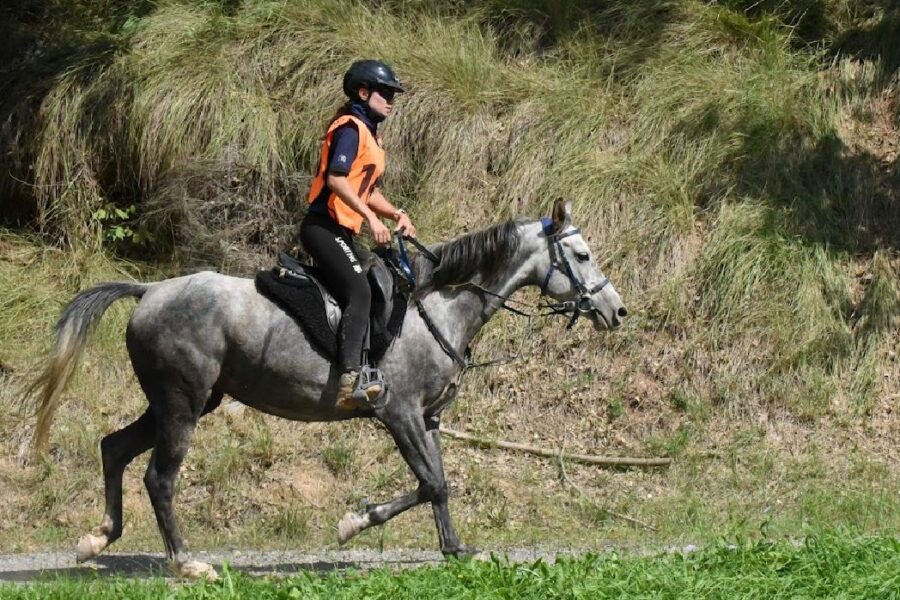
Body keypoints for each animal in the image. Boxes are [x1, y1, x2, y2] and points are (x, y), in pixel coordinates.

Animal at [33, 199, 624, 580]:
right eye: (583, 256)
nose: (617, 311)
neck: (439, 306)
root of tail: (150, 289)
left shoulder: (427, 419)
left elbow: (438, 485)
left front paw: (454, 549)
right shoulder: (400, 414)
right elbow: (431, 483)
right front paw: (353, 523)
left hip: (176, 402)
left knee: (114, 448)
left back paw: (96, 538)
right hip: (183, 405)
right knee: (159, 478)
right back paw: (187, 562)